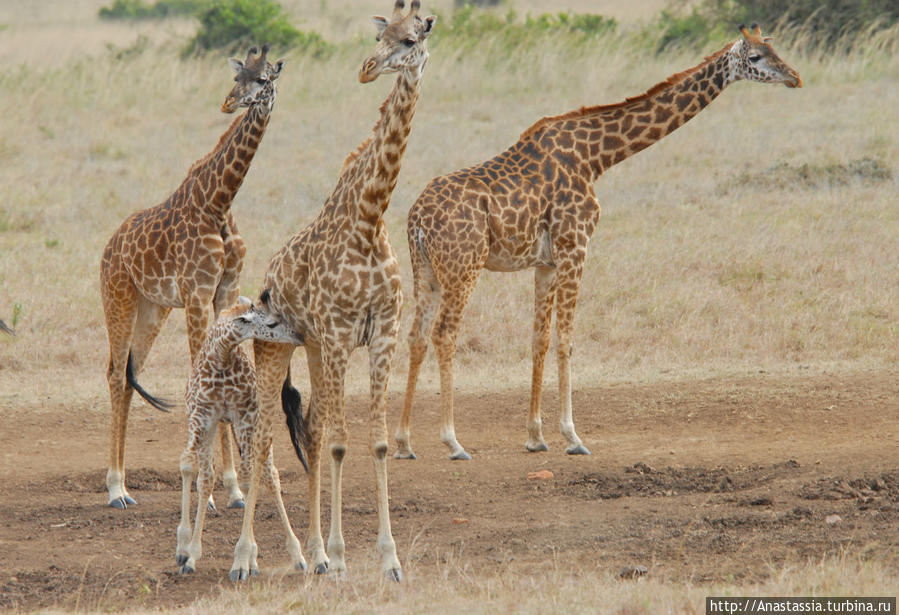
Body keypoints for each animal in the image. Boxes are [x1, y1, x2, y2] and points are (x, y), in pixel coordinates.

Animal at [98, 44, 284, 510]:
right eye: (239, 76)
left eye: (264, 79)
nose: (229, 103)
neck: (219, 199)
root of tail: (109, 246)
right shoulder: (198, 293)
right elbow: (202, 371)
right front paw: (211, 490)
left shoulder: (225, 291)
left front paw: (235, 489)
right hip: (119, 300)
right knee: (115, 373)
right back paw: (115, 488)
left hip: (153, 309)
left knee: (129, 377)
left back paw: (124, 484)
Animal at [176, 298, 306, 576]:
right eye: (272, 322)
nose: (299, 334)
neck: (222, 356)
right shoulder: (203, 417)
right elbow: (200, 476)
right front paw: (188, 553)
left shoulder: (244, 417)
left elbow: (252, 478)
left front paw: (243, 559)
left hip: (250, 424)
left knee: (268, 475)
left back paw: (291, 557)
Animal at [225, 2, 436, 584]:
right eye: (381, 35)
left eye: (411, 38)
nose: (367, 68)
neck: (368, 219)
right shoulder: (342, 336)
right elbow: (343, 443)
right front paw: (343, 556)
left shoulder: (381, 334)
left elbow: (375, 442)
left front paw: (387, 559)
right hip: (275, 349)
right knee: (266, 439)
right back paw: (245, 559)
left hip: (315, 349)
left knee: (313, 431)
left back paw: (314, 555)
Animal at [394, 24, 800, 462]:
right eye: (756, 57)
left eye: (774, 47)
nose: (795, 77)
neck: (596, 158)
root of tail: (416, 219)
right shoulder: (576, 247)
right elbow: (567, 340)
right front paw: (572, 436)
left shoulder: (546, 262)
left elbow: (539, 338)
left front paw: (535, 436)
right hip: (464, 268)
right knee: (444, 334)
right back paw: (452, 441)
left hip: (426, 270)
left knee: (416, 336)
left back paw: (403, 442)